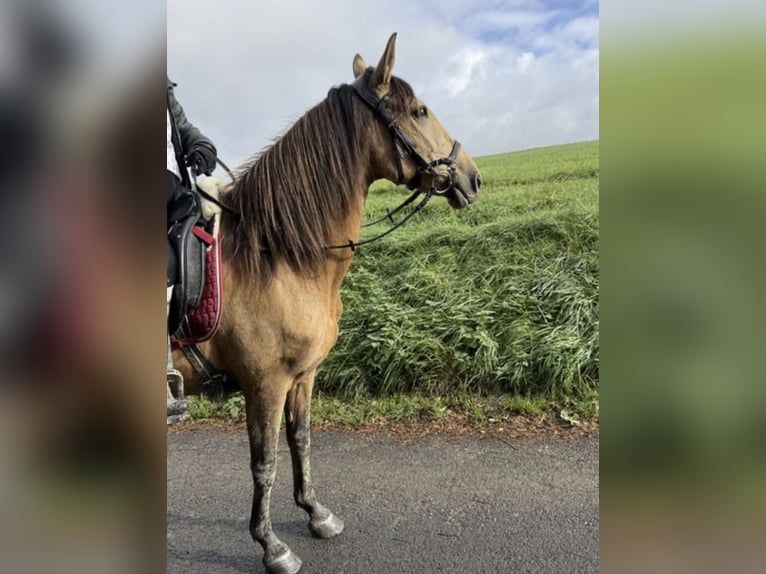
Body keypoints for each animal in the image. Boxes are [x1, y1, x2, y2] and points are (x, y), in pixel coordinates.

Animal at [173, 33, 482, 574]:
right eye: (420, 111)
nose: (473, 177)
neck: (278, 254)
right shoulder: (265, 384)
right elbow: (265, 462)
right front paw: (271, 545)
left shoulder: (302, 376)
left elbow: (301, 441)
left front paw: (316, 513)